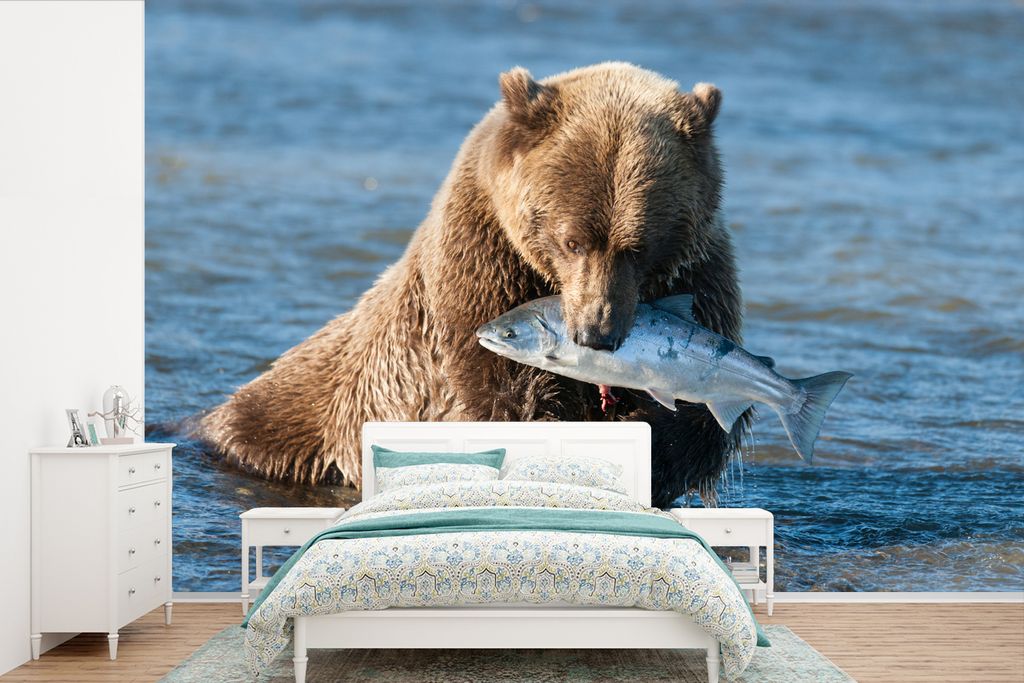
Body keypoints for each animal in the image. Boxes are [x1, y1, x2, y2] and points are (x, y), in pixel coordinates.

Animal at [199, 62, 745, 507]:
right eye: (572, 241)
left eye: (638, 246)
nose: (597, 333)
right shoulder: (481, 270)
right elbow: (504, 394)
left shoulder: (699, 273)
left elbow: (705, 420)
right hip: (310, 414)